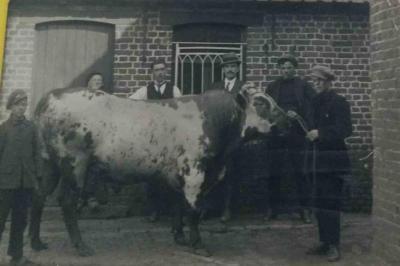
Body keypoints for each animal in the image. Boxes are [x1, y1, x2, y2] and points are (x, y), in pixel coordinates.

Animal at [31, 85, 288, 256]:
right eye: (261, 103)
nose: (289, 118)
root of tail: (53, 95)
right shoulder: (194, 171)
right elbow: (193, 210)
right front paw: (198, 244)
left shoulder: (178, 174)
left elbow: (178, 206)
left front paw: (180, 237)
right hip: (75, 163)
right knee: (66, 201)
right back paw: (81, 247)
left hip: (48, 162)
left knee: (39, 197)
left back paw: (36, 243)